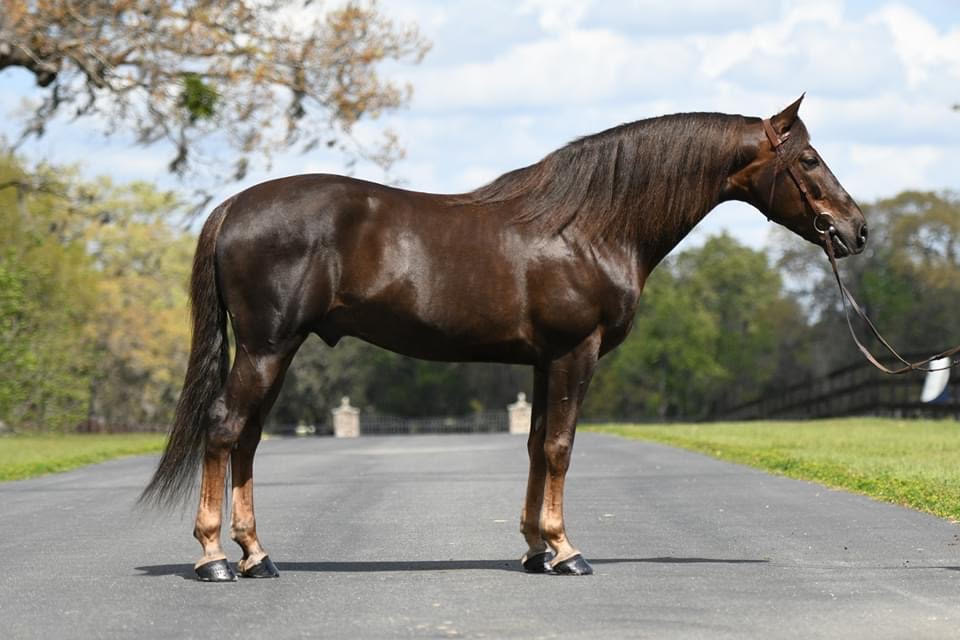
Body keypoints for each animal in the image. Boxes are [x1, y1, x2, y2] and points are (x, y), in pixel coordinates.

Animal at [141, 95, 867, 581]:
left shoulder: (545, 361)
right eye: (808, 158)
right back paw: (214, 558)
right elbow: (561, 448)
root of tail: (235, 206)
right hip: (267, 348)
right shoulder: (576, 353)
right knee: (226, 430)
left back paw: (257, 555)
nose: (855, 230)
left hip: (275, 351)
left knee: (248, 440)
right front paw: (566, 552)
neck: (591, 225)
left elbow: (535, 446)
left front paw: (535, 550)